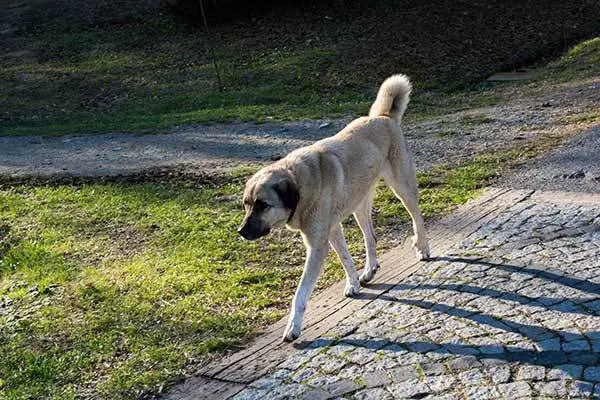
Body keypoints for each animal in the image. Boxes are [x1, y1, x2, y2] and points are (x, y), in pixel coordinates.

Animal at [237, 74, 428, 340]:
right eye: (246, 204)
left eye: (263, 205)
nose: (241, 232)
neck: (300, 182)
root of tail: (383, 117)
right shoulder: (334, 230)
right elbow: (346, 260)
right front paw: (354, 283)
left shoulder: (317, 246)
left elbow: (301, 293)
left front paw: (293, 326)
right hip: (359, 206)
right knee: (371, 237)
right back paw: (369, 270)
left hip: (402, 187)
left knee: (417, 218)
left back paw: (422, 248)